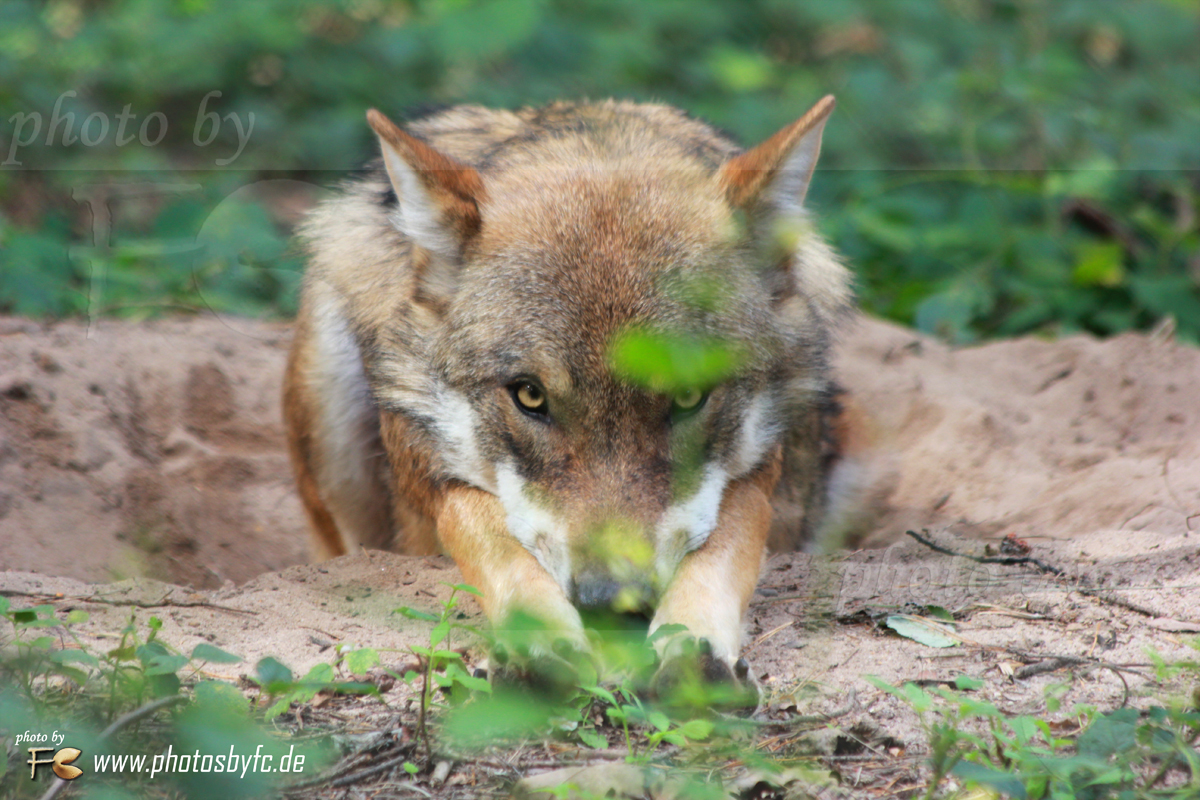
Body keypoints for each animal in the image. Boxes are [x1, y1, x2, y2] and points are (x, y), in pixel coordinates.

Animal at [285, 95, 868, 700]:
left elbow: (731, 535)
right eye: (529, 396)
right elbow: (485, 529)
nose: (611, 603)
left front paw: (692, 643)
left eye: (689, 396)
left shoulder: (761, 473)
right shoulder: (431, 470)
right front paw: (538, 640)